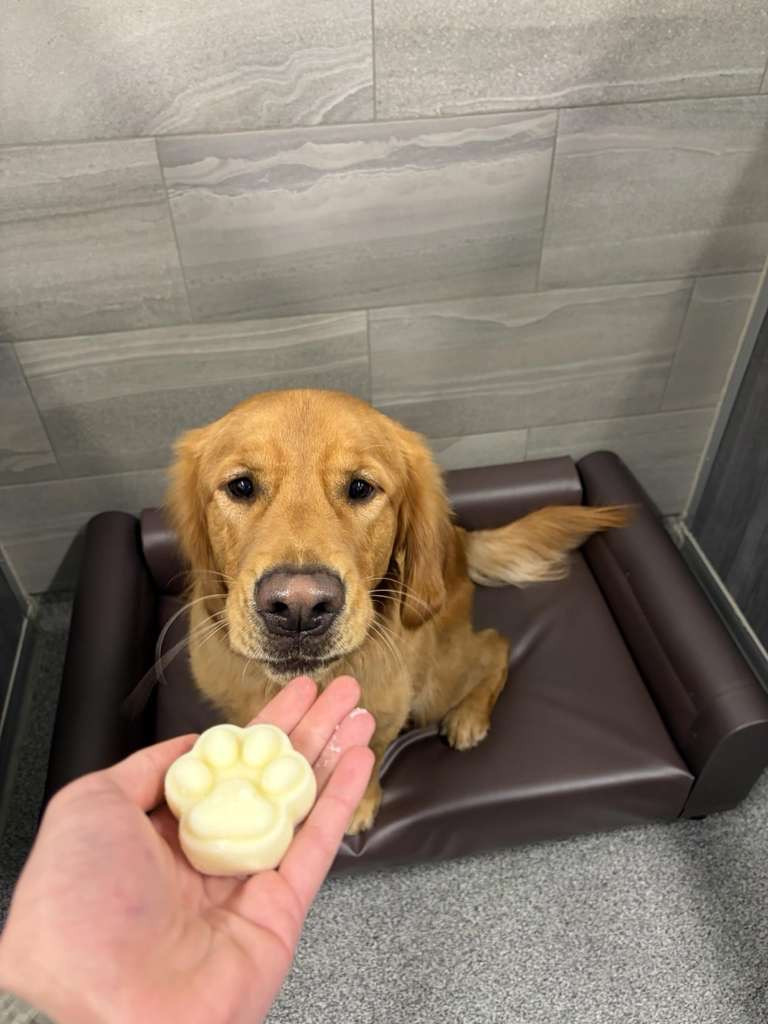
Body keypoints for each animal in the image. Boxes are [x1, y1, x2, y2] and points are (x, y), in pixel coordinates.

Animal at [167, 388, 627, 834]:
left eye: (360, 488)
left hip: (435, 683)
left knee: (495, 645)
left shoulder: (388, 708)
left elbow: (370, 755)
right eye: (241, 486)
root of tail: (458, 538)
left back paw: (469, 716)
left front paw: (358, 805)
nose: (299, 607)